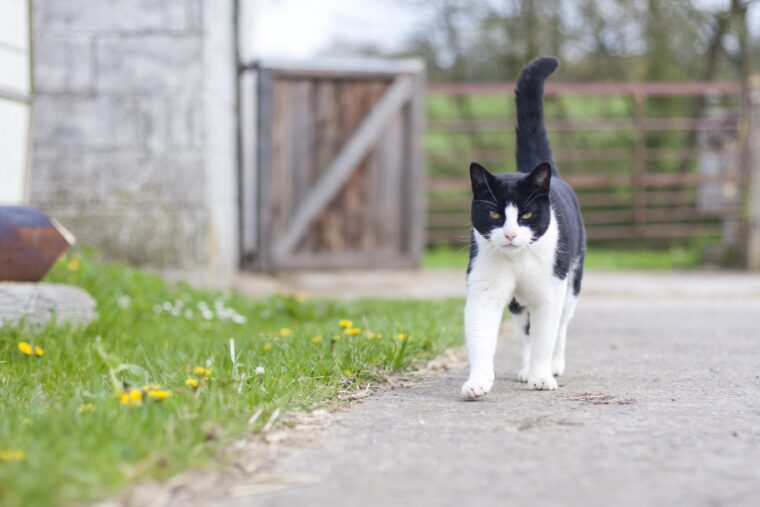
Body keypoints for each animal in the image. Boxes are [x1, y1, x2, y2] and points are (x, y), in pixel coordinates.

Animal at [460, 55, 584, 400]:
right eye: (494, 214)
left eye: (526, 214)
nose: (511, 234)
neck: (517, 261)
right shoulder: (485, 288)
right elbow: (481, 335)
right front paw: (478, 382)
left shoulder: (550, 291)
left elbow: (545, 336)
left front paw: (542, 377)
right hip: (517, 304)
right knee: (525, 329)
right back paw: (525, 368)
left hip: (572, 282)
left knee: (561, 326)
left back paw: (553, 366)